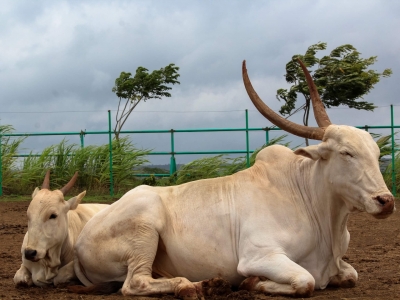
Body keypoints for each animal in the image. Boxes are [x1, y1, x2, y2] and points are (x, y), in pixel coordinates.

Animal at [69, 59, 394, 298]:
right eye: (346, 153)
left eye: (377, 154)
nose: (386, 201)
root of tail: (80, 241)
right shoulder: (258, 256)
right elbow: (306, 281)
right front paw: (252, 283)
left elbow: (350, 275)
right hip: (144, 224)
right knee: (135, 283)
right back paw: (196, 285)